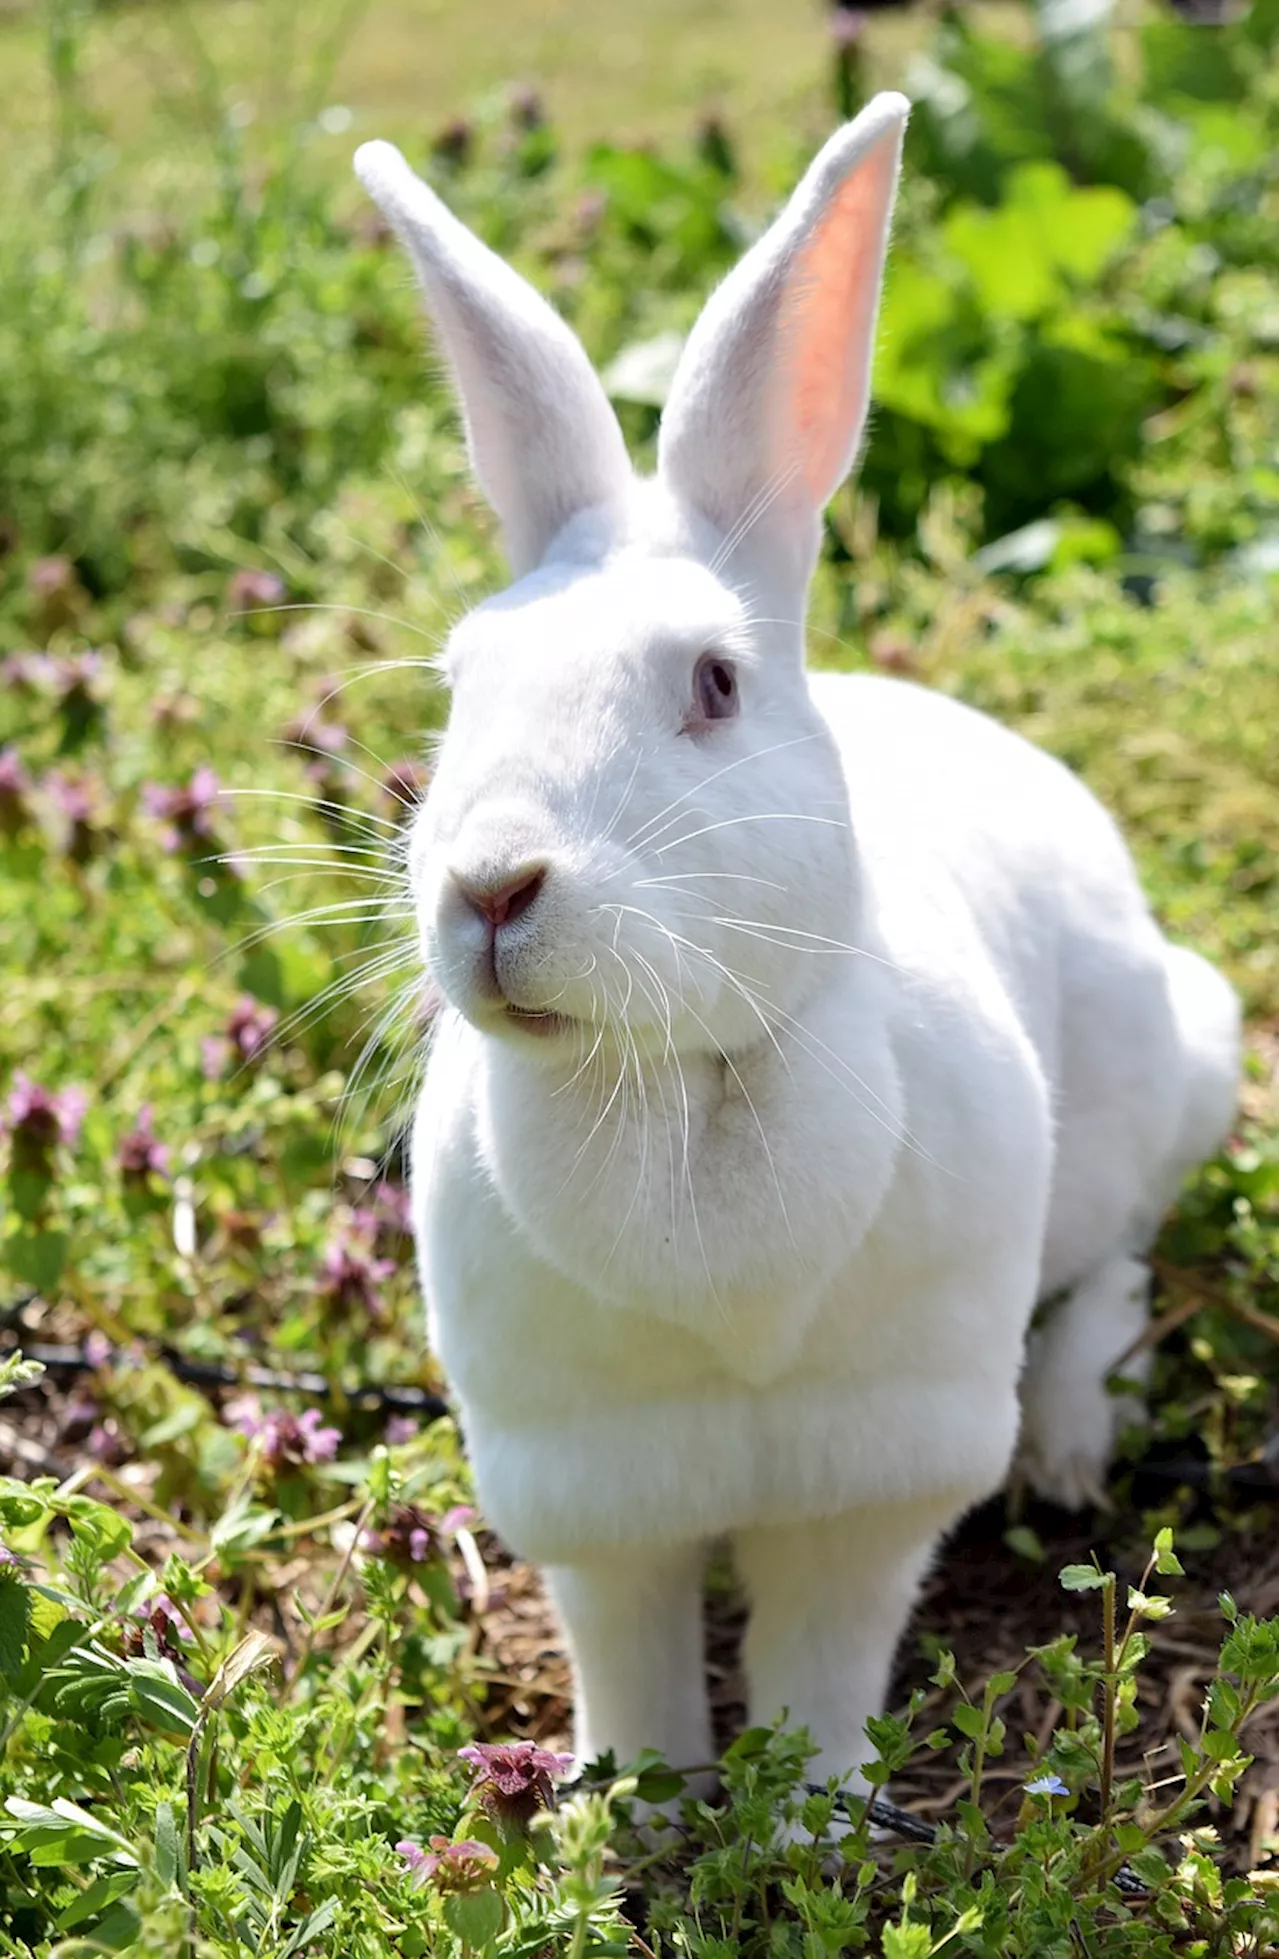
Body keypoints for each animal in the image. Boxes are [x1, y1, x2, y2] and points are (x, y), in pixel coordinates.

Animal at [352, 99, 1238, 1794]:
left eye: (712, 683)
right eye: (461, 681)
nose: (493, 885)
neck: (680, 1079)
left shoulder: (875, 1466)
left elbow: (826, 1660)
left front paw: (817, 1813)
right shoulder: (587, 1485)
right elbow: (630, 1657)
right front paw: (634, 1807)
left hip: (1182, 1072)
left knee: (1113, 1263)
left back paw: (1072, 1447)